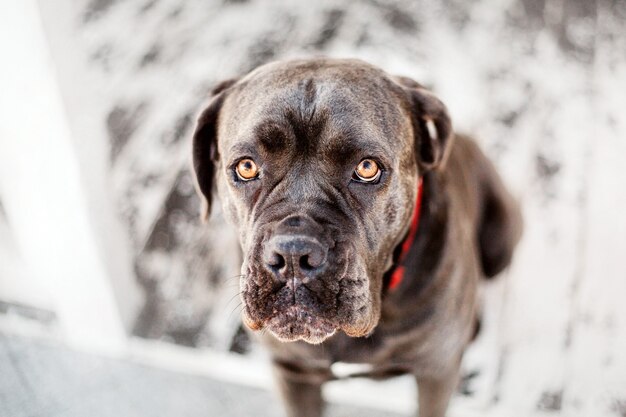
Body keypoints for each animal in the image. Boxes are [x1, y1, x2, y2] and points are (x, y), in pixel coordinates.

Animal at [191, 56, 520, 416]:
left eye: (367, 168)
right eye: (246, 167)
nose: (294, 253)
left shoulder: (436, 371)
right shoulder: (294, 374)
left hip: (501, 237)